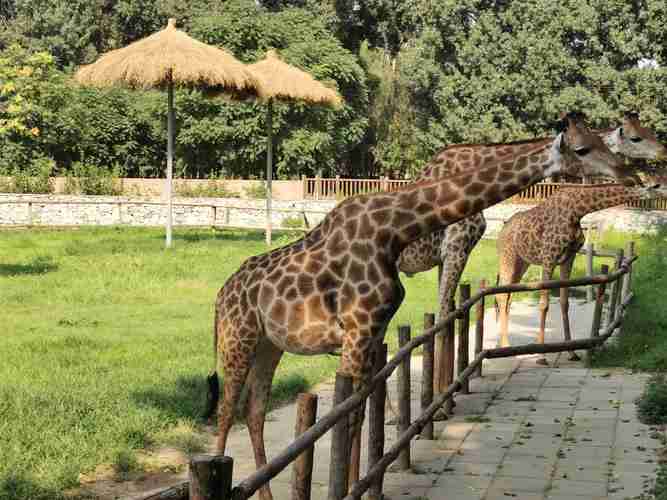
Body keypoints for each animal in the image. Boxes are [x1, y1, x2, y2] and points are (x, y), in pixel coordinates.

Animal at [206, 113, 628, 500]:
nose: (626, 171)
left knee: (253, 411)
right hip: (238, 339)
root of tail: (219, 297)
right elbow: (348, 416)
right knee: (226, 411)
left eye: (601, 140)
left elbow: (360, 410)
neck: (392, 230)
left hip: (269, 345)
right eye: (582, 148)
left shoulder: (371, 332)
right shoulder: (358, 330)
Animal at [496, 181, 667, 364]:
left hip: (522, 263)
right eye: (661, 188)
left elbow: (565, 302)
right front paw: (541, 356)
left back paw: (503, 345)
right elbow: (544, 304)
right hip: (507, 257)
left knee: (507, 296)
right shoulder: (548, 258)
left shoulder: (568, 258)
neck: (577, 210)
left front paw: (571, 352)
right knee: (502, 296)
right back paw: (506, 345)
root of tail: (502, 231)